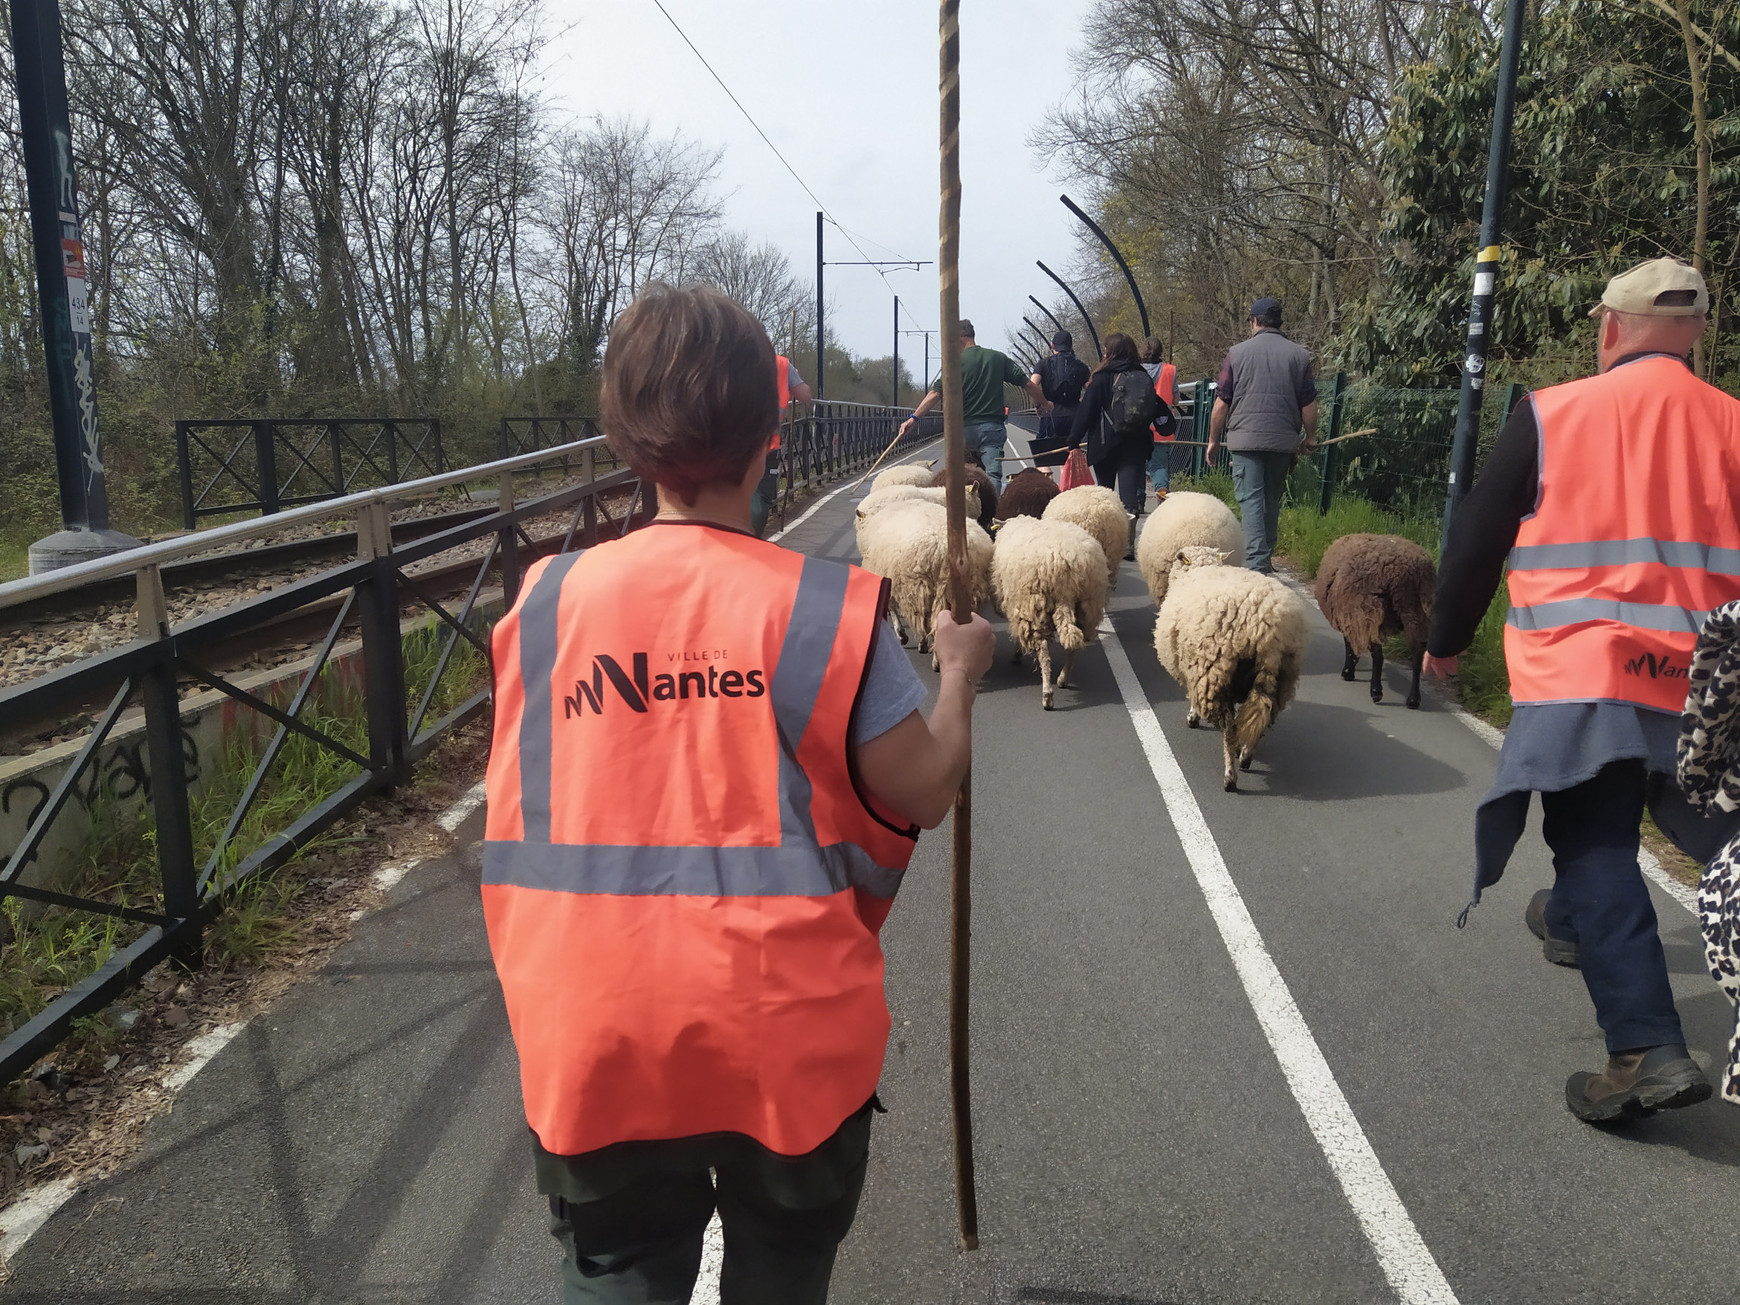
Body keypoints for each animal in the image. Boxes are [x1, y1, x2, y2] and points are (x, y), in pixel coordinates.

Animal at [856, 504, 995, 657]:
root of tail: (942, 547)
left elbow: (892, 608)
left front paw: (902, 635)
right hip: (969, 588)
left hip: (921, 586)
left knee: (927, 620)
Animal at [988, 515, 1106, 709]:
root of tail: (1068, 563)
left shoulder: (1019, 604)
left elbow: (1017, 633)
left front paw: (1016, 654)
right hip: (1088, 605)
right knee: (1074, 645)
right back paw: (1063, 679)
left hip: (1036, 605)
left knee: (1043, 651)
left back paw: (1047, 695)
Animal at [1155, 542, 1308, 793]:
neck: (1201, 569)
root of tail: (1267, 632)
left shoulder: (1195, 670)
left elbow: (1193, 700)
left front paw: (1193, 717)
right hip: (1283, 675)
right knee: (1263, 717)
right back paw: (1245, 755)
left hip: (1213, 673)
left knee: (1229, 729)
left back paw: (1230, 777)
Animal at [1308, 532, 1433, 709]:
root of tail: (1402, 569)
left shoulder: (1350, 615)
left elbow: (1349, 645)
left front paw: (1348, 672)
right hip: (1415, 608)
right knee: (1418, 652)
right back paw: (1414, 699)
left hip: (1369, 608)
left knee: (1378, 653)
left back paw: (1376, 691)